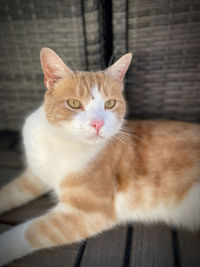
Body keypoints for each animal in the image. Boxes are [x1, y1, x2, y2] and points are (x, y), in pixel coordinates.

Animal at [0, 47, 200, 266]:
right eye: (74, 103)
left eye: (110, 103)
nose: (98, 123)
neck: (60, 142)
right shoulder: (35, 176)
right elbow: (9, 192)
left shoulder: (88, 211)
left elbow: (28, 232)